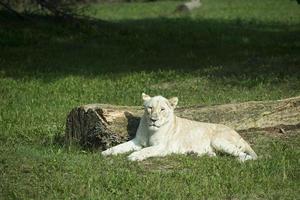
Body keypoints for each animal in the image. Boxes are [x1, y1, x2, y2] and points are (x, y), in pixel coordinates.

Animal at [102, 93, 256, 162]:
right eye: (150, 108)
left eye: (162, 109)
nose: (153, 120)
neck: (150, 130)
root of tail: (239, 135)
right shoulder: (137, 141)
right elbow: (120, 146)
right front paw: (106, 152)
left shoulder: (162, 147)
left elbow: (147, 150)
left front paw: (134, 156)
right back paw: (196, 153)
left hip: (218, 140)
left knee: (247, 156)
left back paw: (241, 160)